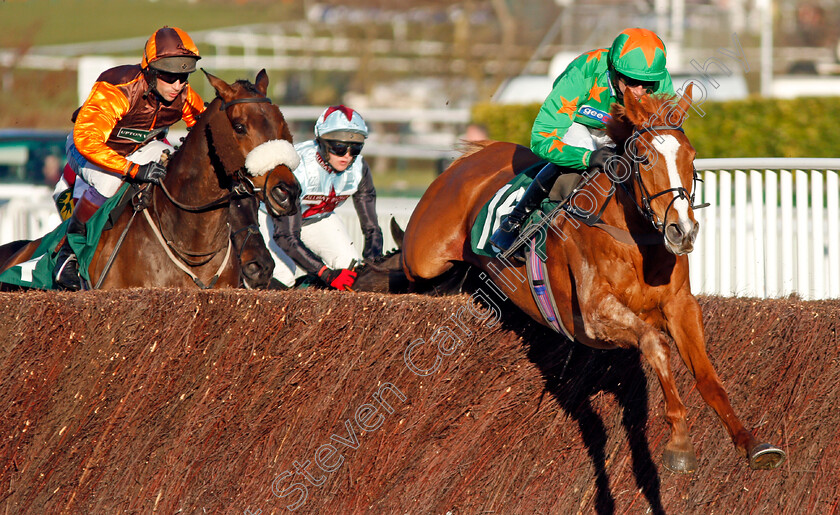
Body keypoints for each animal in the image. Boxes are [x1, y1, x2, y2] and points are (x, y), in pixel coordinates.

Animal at [400, 85, 788, 476]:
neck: (634, 238)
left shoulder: (680, 305)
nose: (683, 231)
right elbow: (655, 344)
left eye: (691, 156)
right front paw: (680, 442)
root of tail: (471, 158)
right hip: (423, 256)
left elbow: (708, 378)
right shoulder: (595, 314)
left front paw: (751, 442)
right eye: (644, 158)